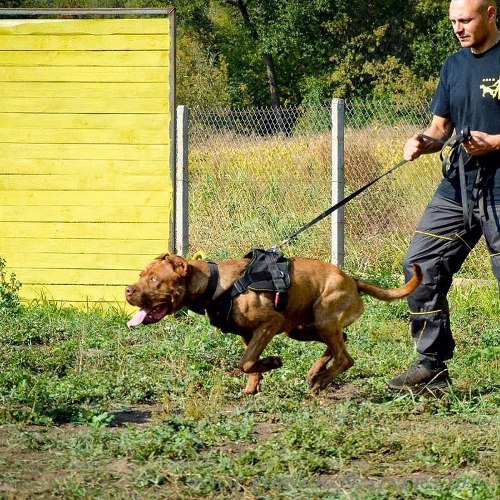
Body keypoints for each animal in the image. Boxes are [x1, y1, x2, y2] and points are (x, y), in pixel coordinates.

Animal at [126, 254, 422, 394]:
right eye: (141, 275)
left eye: (154, 280)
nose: (127, 290)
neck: (215, 283)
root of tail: (353, 280)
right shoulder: (248, 334)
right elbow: (249, 364)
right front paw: (252, 387)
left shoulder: (269, 323)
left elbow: (245, 362)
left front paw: (272, 363)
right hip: (303, 328)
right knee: (342, 344)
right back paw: (316, 372)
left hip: (323, 319)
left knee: (345, 358)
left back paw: (321, 380)